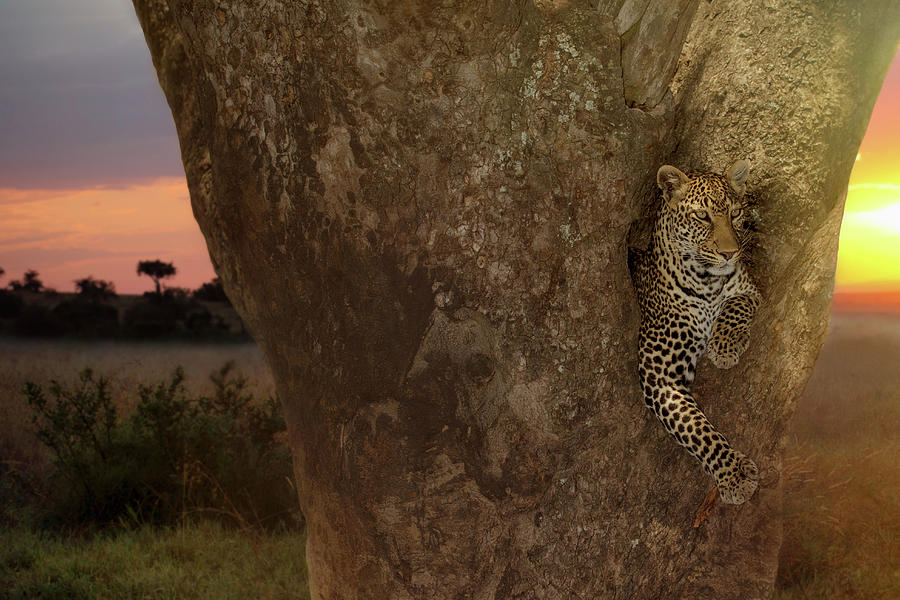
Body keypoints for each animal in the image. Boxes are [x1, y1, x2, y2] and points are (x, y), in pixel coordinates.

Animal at [628, 161, 764, 506]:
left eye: (735, 213)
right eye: (702, 216)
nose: (730, 253)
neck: (705, 283)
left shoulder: (747, 290)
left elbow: (735, 305)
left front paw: (724, 347)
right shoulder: (659, 374)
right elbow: (696, 429)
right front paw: (733, 474)